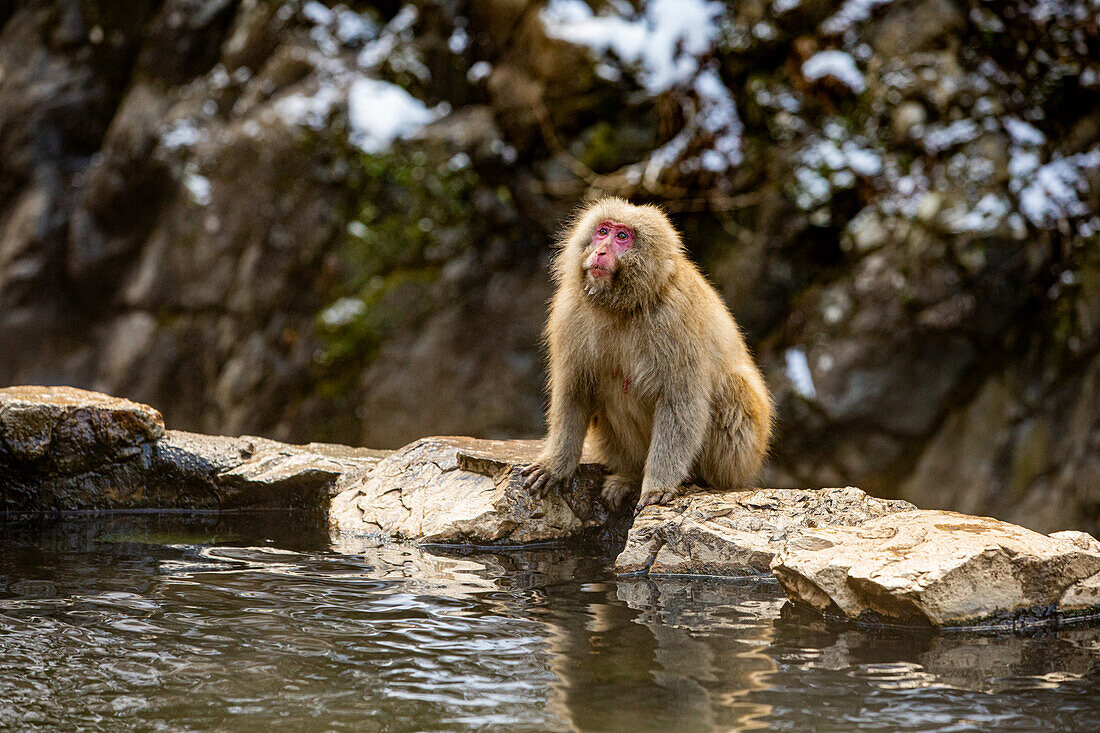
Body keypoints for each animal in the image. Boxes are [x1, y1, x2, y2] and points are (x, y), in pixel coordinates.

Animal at [521, 197, 774, 510]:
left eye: (622, 237)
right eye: (602, 231)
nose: (601, 251)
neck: (621, 306)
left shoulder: (674, 320)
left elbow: (682, 403)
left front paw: (658, 485)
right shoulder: (569, 311)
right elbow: (574, 391)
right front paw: (556, 465)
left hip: (741, 459)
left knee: (732, 388)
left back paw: (696, 480)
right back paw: (630, 476)